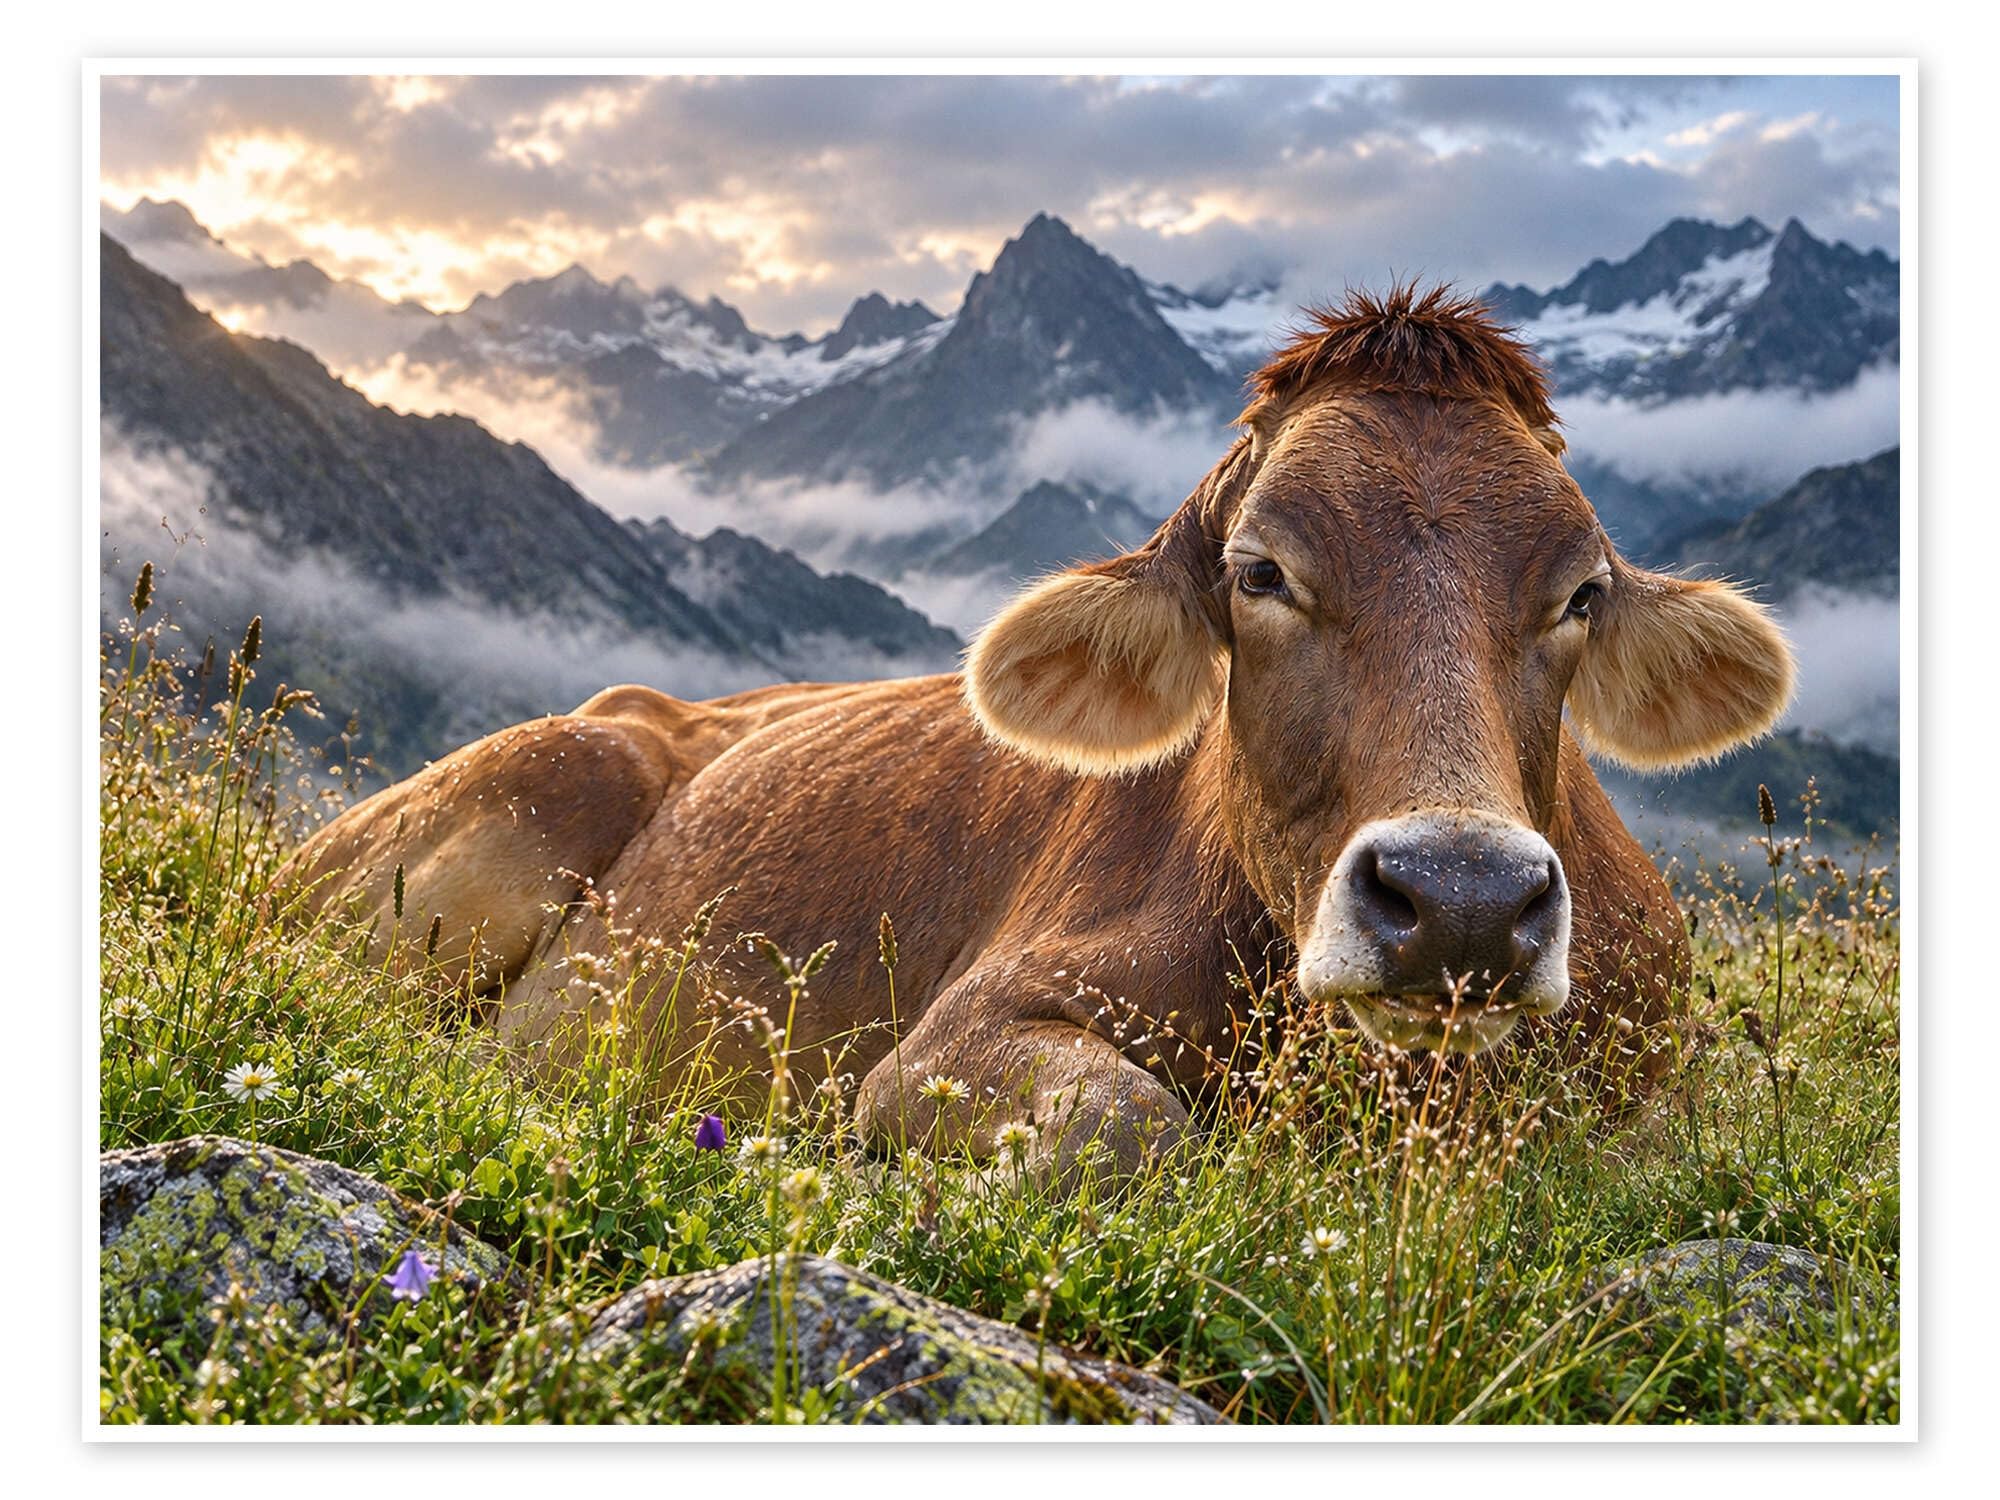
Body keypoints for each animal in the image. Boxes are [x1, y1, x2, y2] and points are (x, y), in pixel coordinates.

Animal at [280, 287, 1795, 1180]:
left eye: (1580, 591)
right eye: (1261, 572)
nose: (1461, 899)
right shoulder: (950, 1036)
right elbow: (1129, 1121)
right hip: (496, 828)